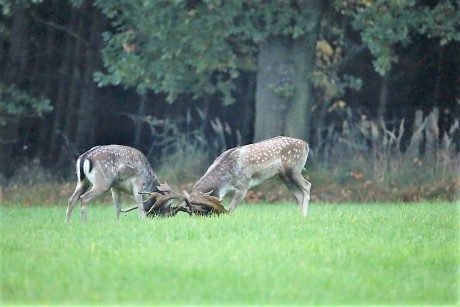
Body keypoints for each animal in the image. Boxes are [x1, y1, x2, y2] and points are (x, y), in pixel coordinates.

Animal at [125, 136, 312, 218]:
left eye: (204, 211)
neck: (226, 178)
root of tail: (306, 144)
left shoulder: (244, 184)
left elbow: (232, 208)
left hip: (293, 169)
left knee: (307, 186)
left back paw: (303, 216)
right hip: (284, 177)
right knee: (298, 194)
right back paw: (299, 217)